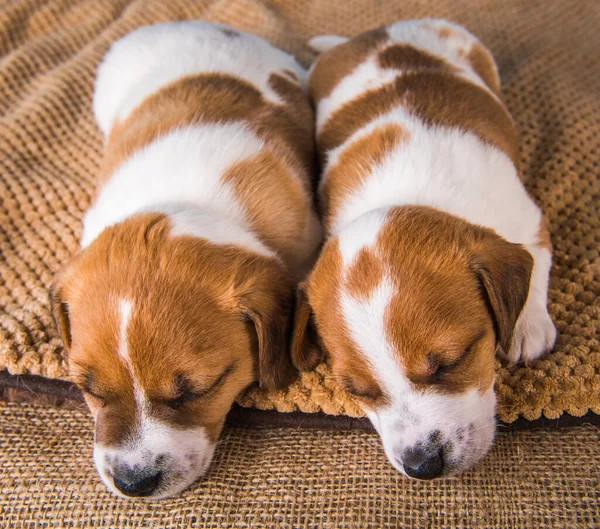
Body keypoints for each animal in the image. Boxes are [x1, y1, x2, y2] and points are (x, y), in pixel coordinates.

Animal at [292, 19, 556, 478]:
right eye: (359, 390)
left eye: (451, 363)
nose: (423, 465)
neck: (409, 192)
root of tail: (379, 32)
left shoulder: (529, 220)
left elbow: (536, 261)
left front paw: (528, 325)